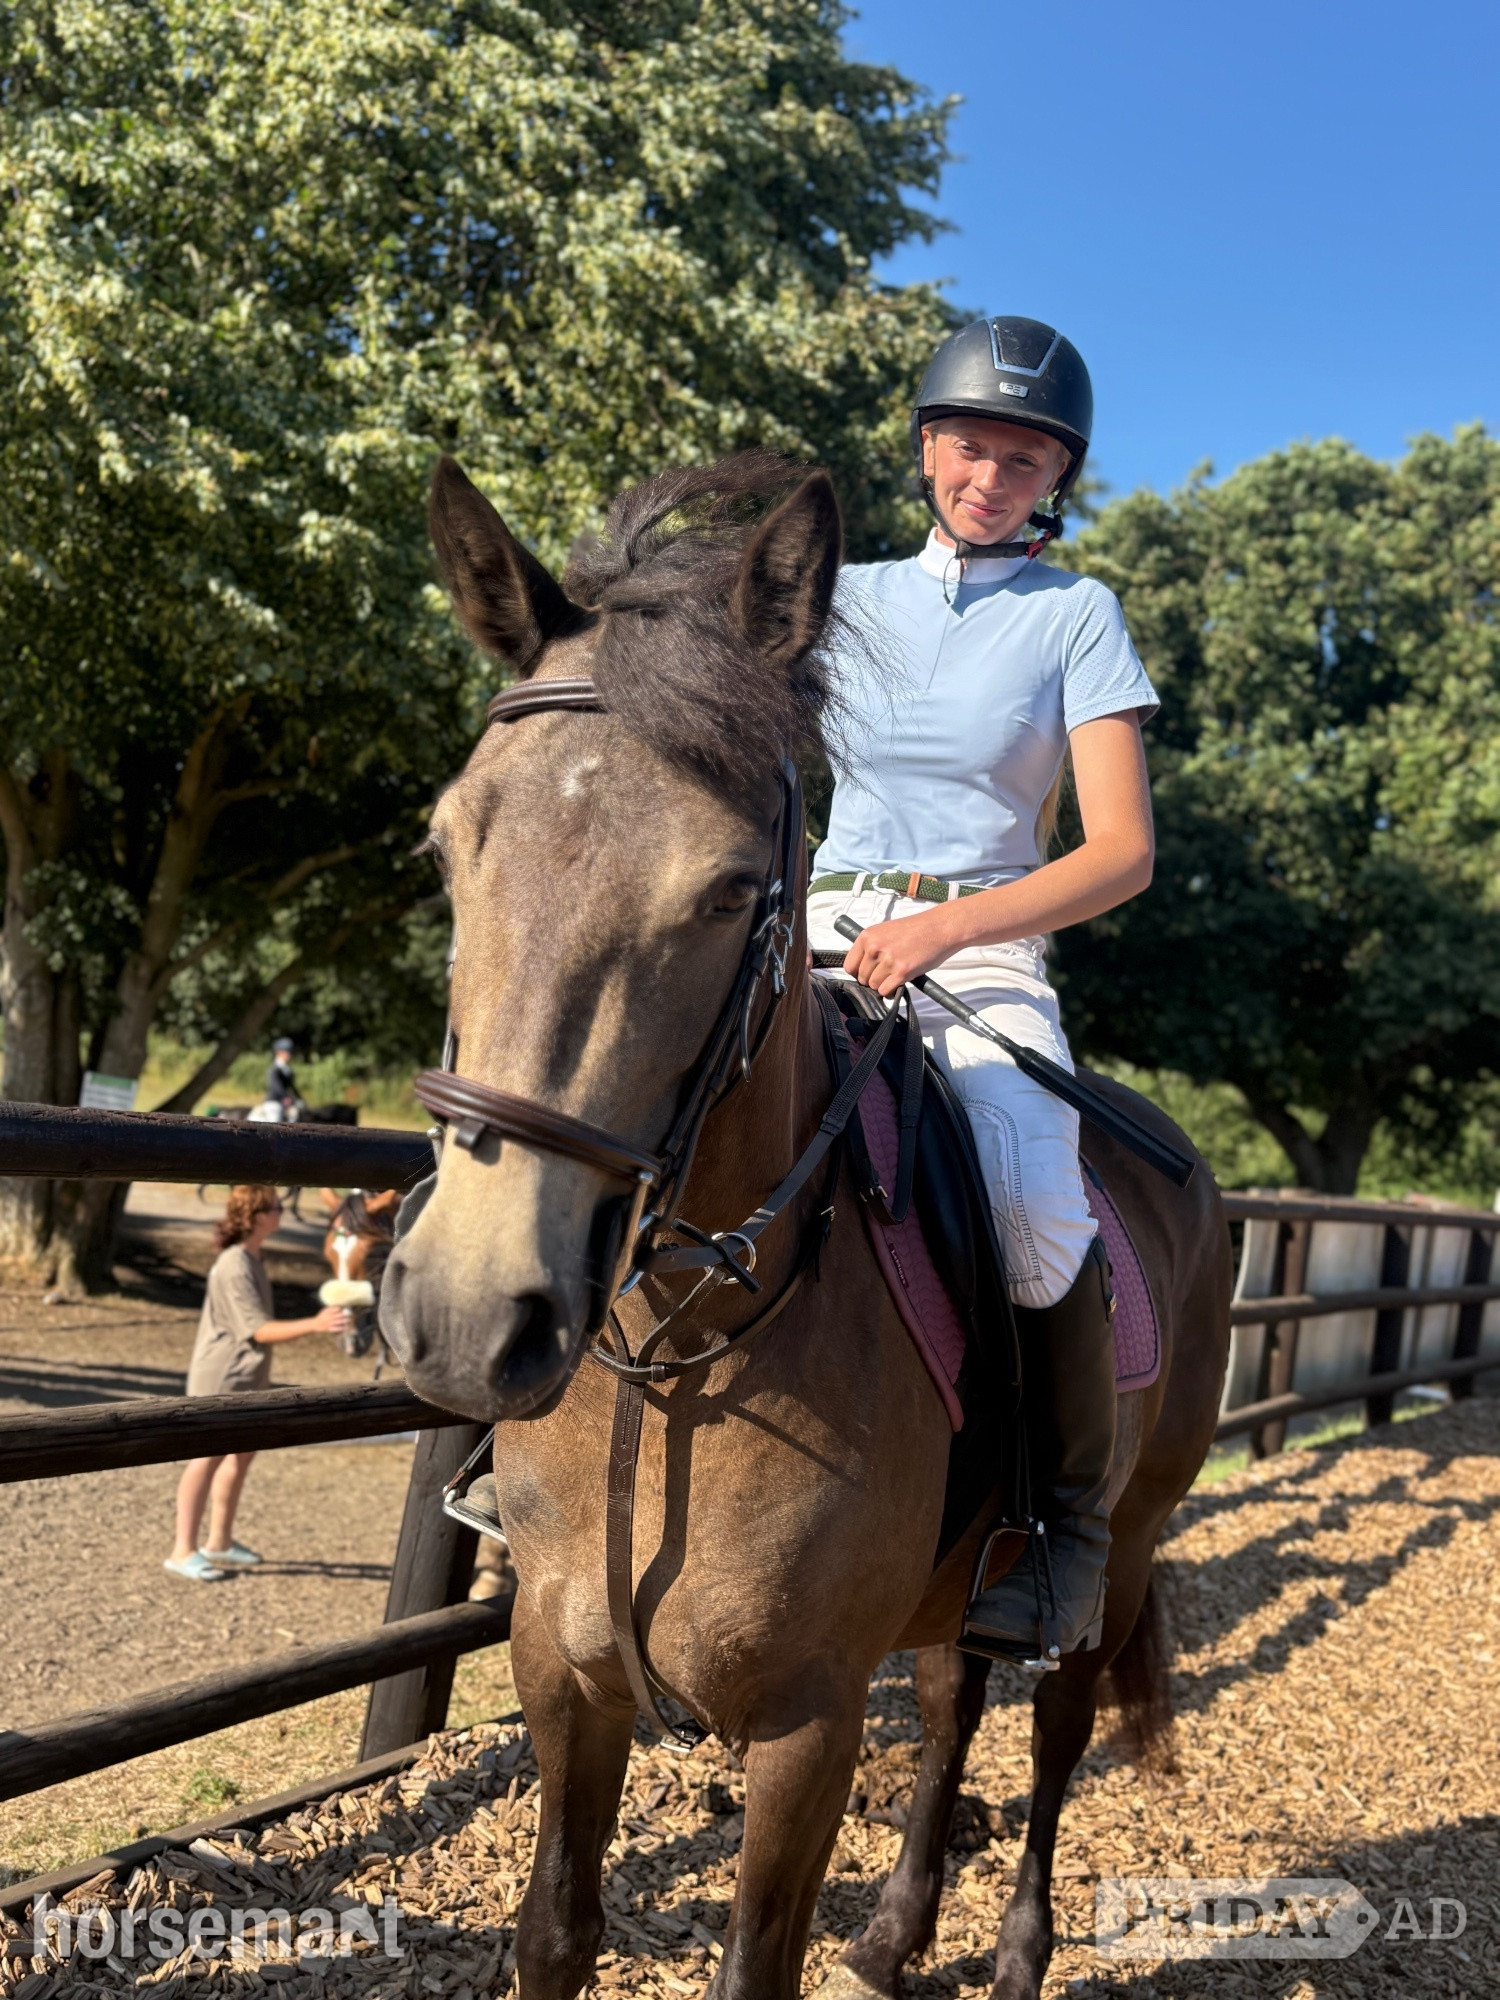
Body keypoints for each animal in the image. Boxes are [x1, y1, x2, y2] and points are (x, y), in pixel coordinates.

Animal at [380, 452, 1232, 2000]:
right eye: (447, 844)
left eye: (730, 889)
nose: (472, 1316)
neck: (680, 1365)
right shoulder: (559, 1670)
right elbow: (556, 1929)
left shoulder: (806, 1728)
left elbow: (753, 1962)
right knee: (954, 1697)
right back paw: (894, 1935)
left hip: (1128, 1539)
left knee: (1057, 1724)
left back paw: (1018, 1950)